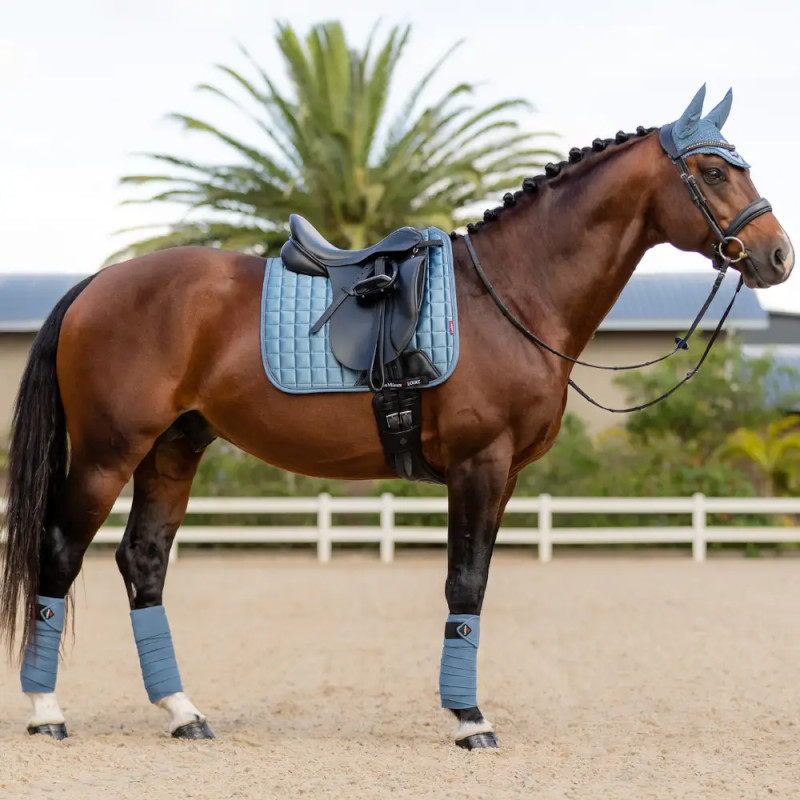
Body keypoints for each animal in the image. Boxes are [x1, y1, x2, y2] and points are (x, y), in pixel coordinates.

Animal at [0, 85, 793, 749]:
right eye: (713, 172)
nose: (778, 256)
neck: (513, 295)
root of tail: (98, 283)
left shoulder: (502, 477)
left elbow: (474, 581)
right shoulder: (479, 465)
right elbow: (465, 584)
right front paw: (470, 720)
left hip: (172, 450)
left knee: (143, 560)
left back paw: (183, 713)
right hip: (108, 454)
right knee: (60, 553)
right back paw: (47, 713)